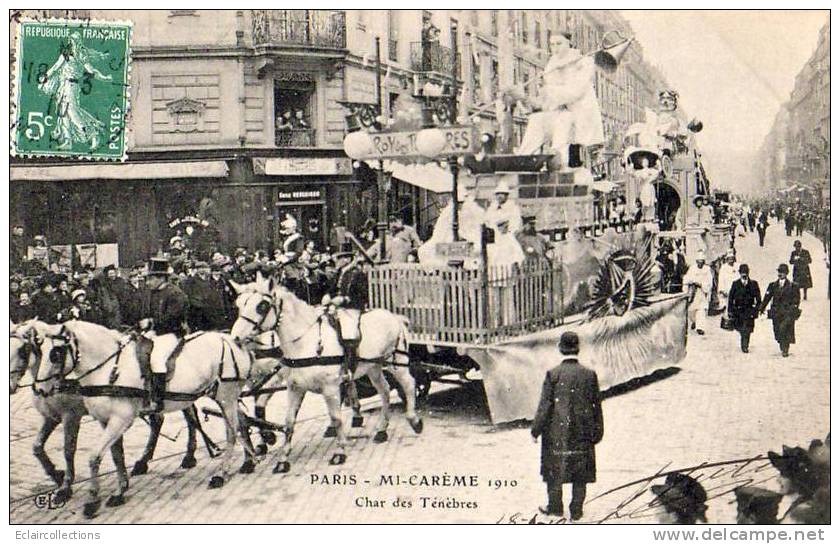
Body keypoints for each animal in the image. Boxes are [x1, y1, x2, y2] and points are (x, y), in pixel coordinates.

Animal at [30, 318, 256, 520]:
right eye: (38, 351)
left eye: (55, 354)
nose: (39, 389)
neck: (110, 368)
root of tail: (232, 340)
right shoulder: (106, 421)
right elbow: (116, 455)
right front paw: (120, 491)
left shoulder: (119, 420)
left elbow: (94, 457)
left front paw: (92, 501)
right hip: (224, 397)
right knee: (241, 420)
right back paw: (249, 461)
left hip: (226, 396)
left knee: (231, 432)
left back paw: (222, 474)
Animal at [228, 274, 420, 474]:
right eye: (239, 304)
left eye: (262, 306)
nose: (236, 338)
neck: (306, 343)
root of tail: (394, 316)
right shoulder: (294, 388)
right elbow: (289, 421)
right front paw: (282, 459)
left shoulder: (330, 388)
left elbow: (336, 418)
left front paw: (340, 451)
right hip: (373, 367)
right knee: (384, 390)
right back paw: (382, 430)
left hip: (396, 361)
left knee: (408, 384)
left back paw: (414, 420)